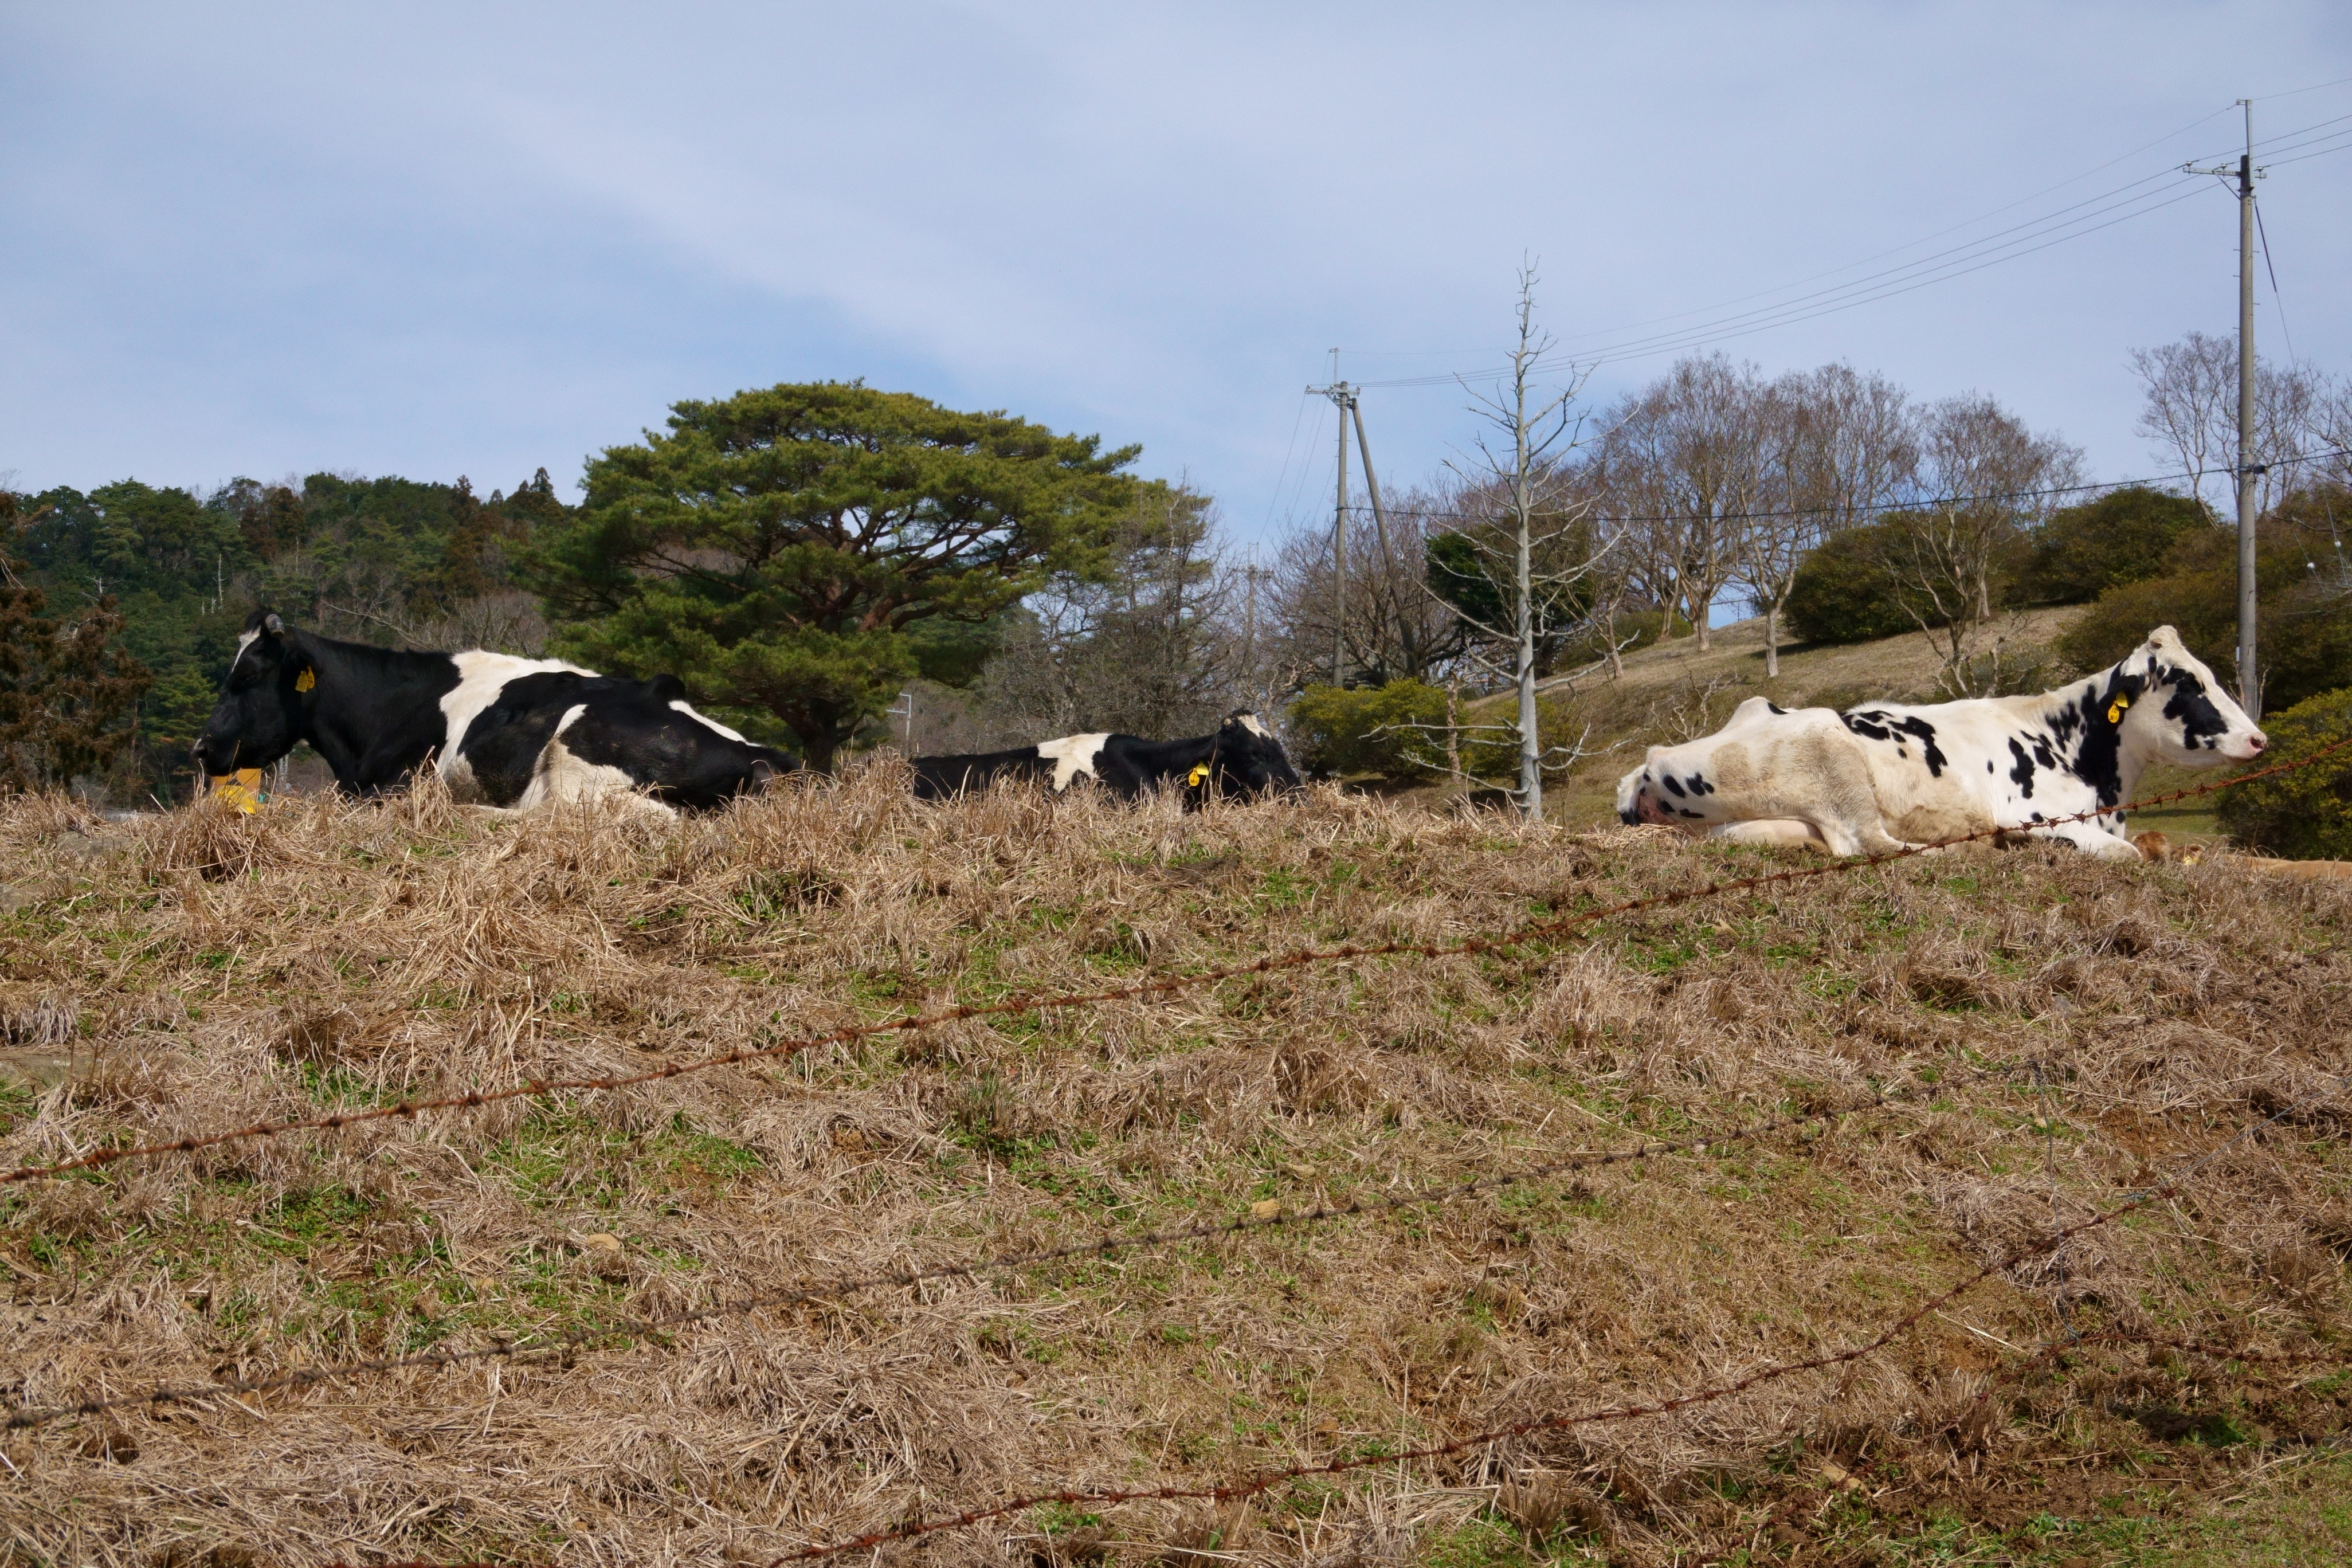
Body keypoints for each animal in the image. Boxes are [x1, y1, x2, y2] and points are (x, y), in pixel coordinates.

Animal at [1618, 630, 2257, 865]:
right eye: (2189, 683)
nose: (2259, 738)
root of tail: (1649, 766)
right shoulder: (2035, 816)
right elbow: (2128, 855)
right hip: (1831, 749)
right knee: (1871, 844)